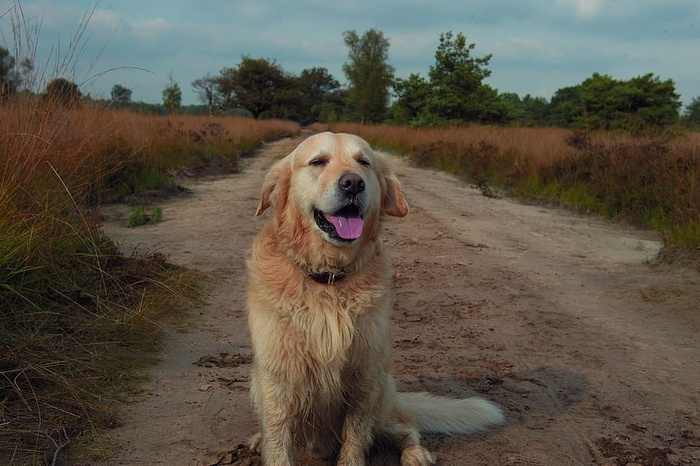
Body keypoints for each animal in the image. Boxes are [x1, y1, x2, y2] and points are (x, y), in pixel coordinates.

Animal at [246, 132, 504, 466]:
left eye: (363, 162)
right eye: (318, 162)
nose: (353, 183)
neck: (328, 278)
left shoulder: (364, 371)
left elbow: (356, 435)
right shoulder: (276, 374)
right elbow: (278, 439)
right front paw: (269, 445)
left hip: (383, 389)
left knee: (404, 428)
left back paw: (416, 454)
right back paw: (258, 439)